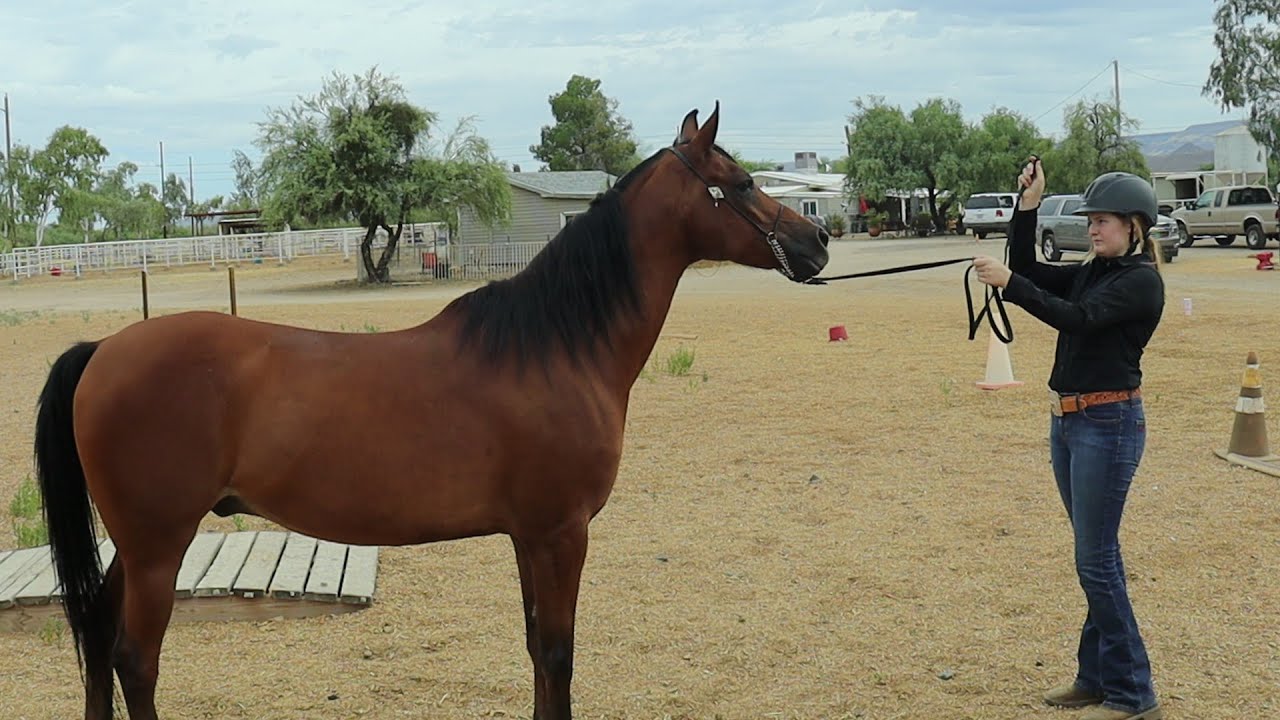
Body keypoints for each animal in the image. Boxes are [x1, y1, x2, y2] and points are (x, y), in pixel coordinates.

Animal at [33, 102, 830, 720]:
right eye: (741, 182)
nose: (817, 239)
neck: (557, 345)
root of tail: (103, 351)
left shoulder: (528, 537)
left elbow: (537, 648)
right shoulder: (562, 533)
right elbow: (560, 654)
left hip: (137, 546)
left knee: (98, 636)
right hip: (158, 546)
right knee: (135, 659)